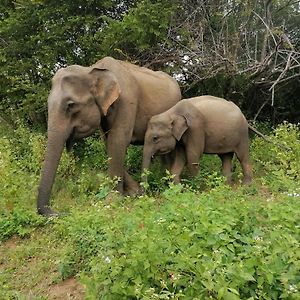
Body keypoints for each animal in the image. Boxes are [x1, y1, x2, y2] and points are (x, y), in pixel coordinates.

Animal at [36, 56, 179, 216]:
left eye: (70, 105)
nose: (63, 212)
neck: (92, 70)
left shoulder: (127, 100)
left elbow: (118, 140)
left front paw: (112, 201)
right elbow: (108, 141)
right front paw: (132, 193)